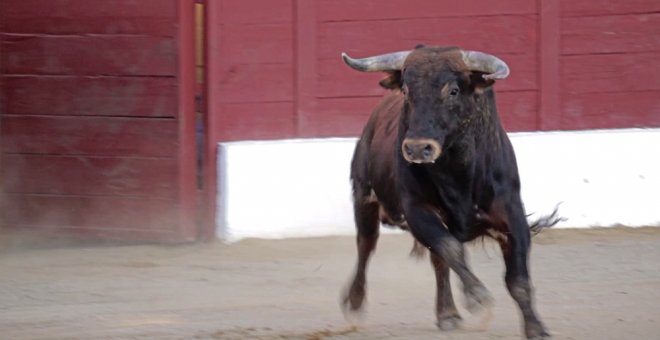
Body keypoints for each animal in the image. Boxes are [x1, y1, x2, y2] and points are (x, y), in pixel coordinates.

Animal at [340, 45, 564, 340]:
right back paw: (355, 301)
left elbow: (517, 279)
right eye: (406, 90)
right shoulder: (417, 211)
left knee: (437, 262)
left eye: (454, 91)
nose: (417, 148)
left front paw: (536, 328)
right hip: (364, 199)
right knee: (366, 246)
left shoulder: (512, 213)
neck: (459, 174)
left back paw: (447, 313)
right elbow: (451, 249)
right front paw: (476, 296)